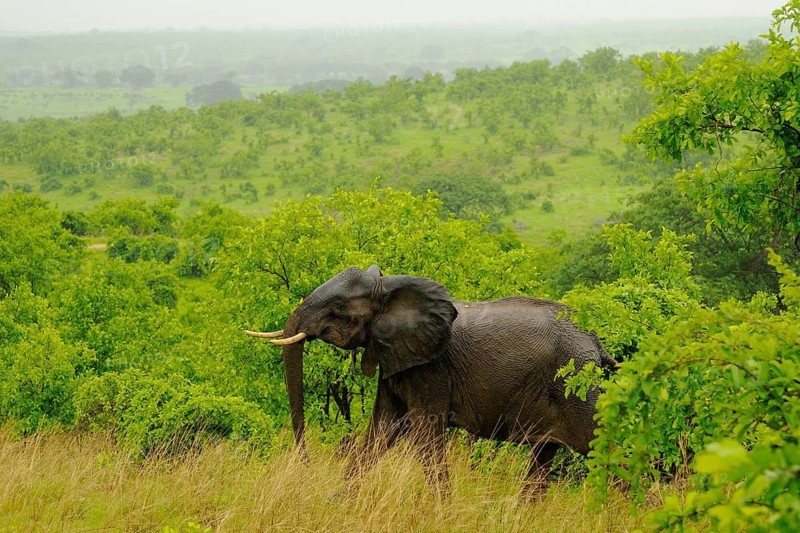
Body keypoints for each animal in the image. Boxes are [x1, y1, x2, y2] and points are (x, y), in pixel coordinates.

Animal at [245, 265, 615, 497]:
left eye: (339, 312)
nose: (305, 464)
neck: (390, 288)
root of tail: (595, 342)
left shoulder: (431, 370)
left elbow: (424, 432)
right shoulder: (395, 359)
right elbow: (381, 429)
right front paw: (337, 501)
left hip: (578, 386)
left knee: (605, 447)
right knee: (544, 456)